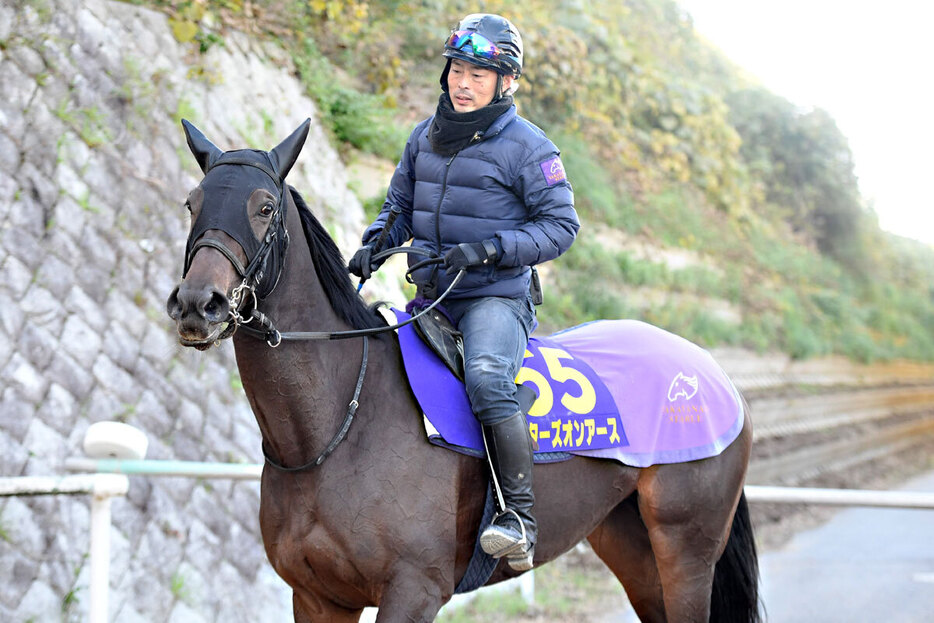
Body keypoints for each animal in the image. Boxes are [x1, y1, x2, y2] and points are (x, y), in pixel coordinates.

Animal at [165, 122, 756, 623]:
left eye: (264, 207)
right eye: (192, 202)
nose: (199, 303)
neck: (338, 425)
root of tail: (715, 374)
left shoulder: (413, 590)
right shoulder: (317, 596)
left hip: (685, 547)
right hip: (630, 544)